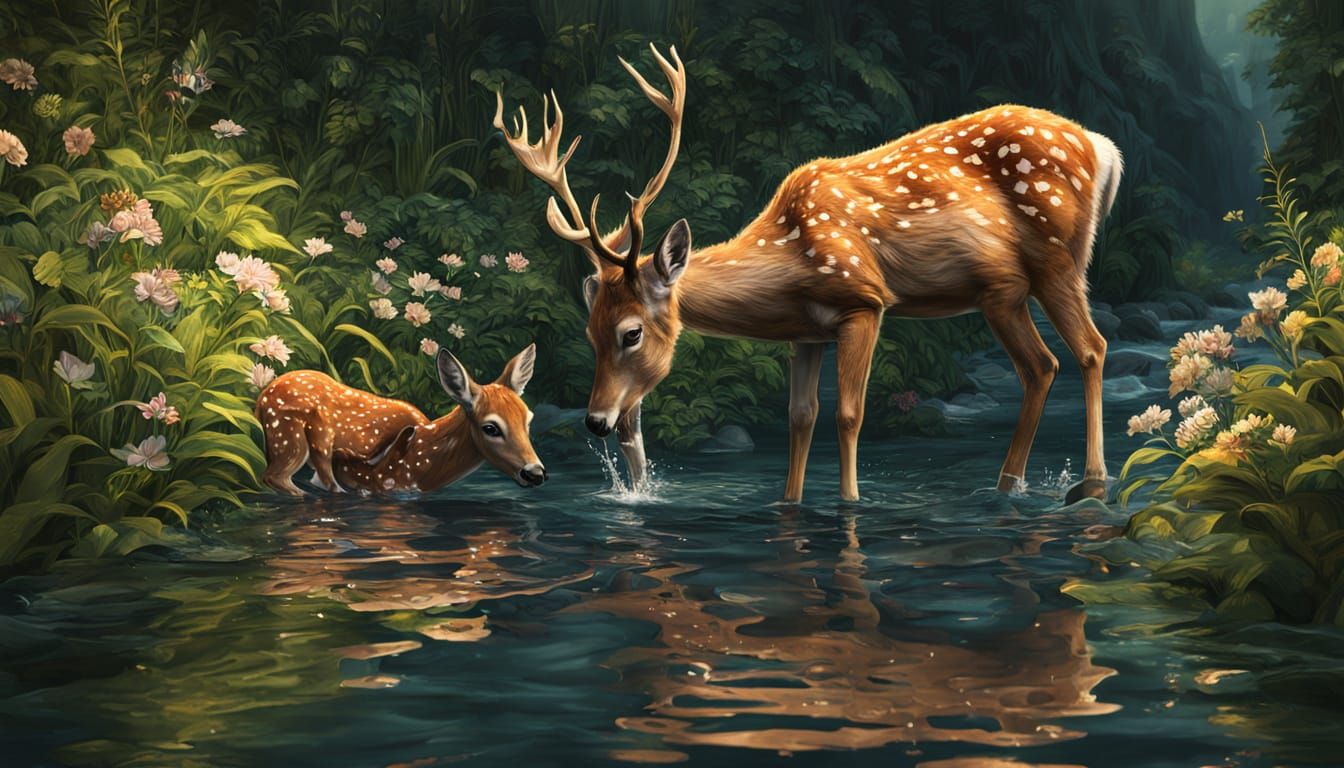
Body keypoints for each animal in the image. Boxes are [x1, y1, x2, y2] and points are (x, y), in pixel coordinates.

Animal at [256, 344, 547, 496]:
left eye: (529, 420)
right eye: (491, 427)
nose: (535, 473)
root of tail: (261, 399)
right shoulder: (379, 481)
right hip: (294, 440)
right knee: (278, 478)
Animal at [495, 44, 1121, 504]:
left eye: (631, 333)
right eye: (589, 333)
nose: (597, 422)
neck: (790, 259)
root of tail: (1103, 148)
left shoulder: (865, 302)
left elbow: (847, 414)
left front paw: (850, 503)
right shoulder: (805, 333)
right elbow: (800, 419)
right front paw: (791, 504)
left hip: (1056, 261)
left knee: (1088, 348)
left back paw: (1090, 480)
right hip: (1005, 292)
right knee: (1044, 366)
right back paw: (1010, 483)